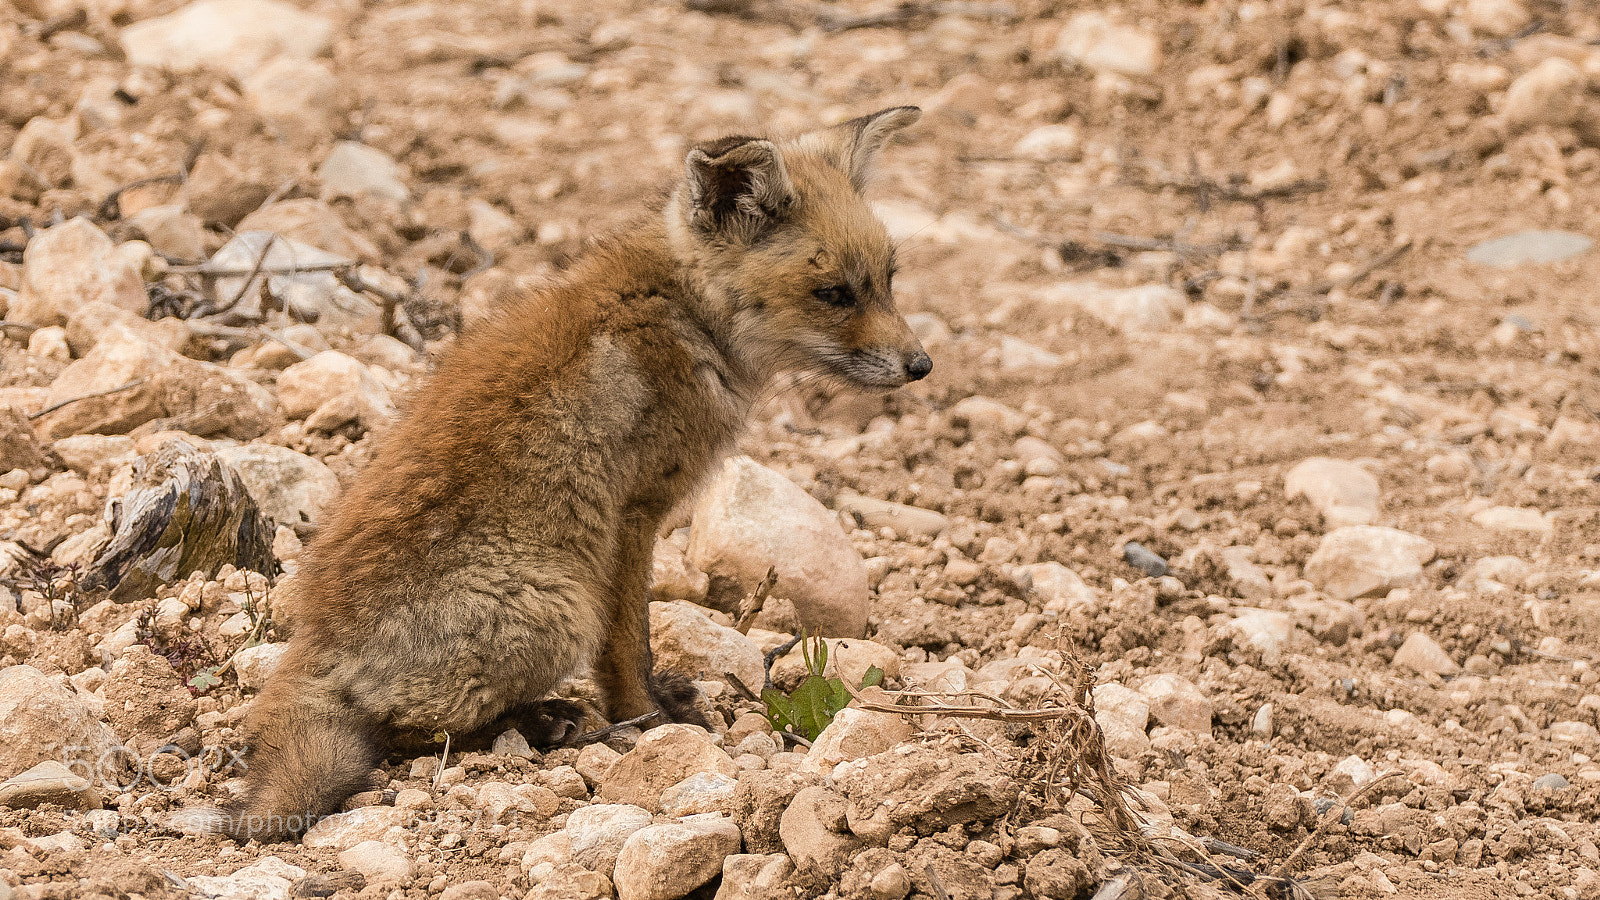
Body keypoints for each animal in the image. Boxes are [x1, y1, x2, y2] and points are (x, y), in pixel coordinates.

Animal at [191, 106, 932, 842]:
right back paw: (542, 722)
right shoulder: (634, 516)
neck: (684, 314)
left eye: (890, 280)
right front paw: (648, 720)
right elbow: (629, 645)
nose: (921, 365)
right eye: (833, 294)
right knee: (411, 734)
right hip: (560, 606)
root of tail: (316, 644)